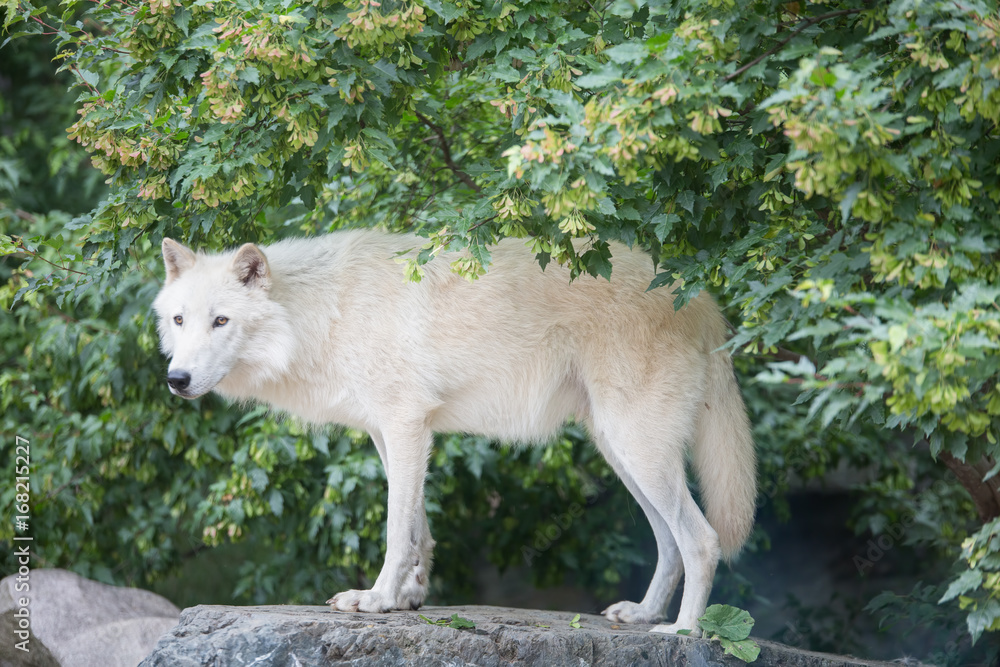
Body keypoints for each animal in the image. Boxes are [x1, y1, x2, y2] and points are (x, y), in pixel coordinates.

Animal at [152, 229, 756, 634]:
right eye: (180, 320)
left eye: (222, 321)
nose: (176, 380)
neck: (324, 313)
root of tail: (701, 298)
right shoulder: (392, 433)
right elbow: (419, 529)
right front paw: (409, 598)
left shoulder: (405, 424)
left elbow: (396, 530)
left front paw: (376, 600)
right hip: (622, 452)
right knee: (669, 542)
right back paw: (644, 613)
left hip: (638, 450)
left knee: (702, 539)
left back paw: (683, 632)